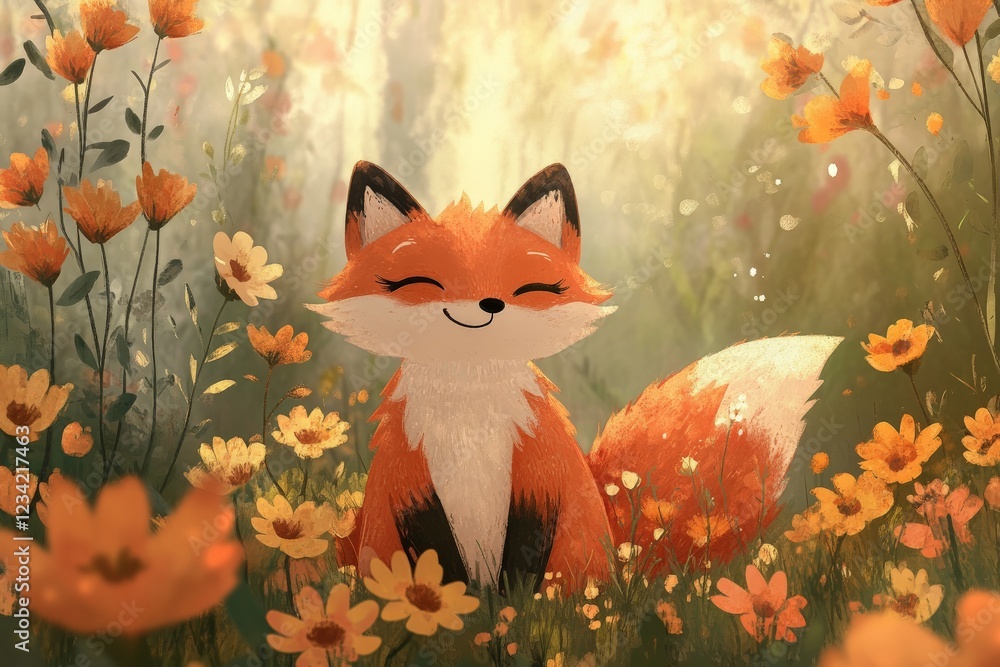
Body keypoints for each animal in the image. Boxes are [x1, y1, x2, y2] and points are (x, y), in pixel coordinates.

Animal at [308, 161, 841, 593]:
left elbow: (523, 558)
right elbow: (438, 561)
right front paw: (463, 613)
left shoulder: (540, 474)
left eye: (529, 287)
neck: (469, 417)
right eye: (420, 282)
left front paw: (513, 609)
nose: (486, 305)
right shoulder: (407, 483)